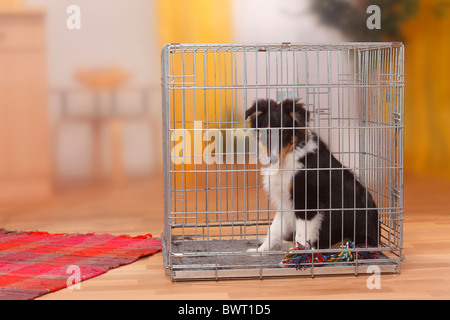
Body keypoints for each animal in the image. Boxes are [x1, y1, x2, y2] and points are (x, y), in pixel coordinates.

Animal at [246, 99, 380, 251]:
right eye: (266, 132)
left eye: (284, 132)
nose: (272, 159)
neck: (290, 155)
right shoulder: (285, 201)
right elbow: (273, 229)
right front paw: (260, 251)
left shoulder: (308, 200)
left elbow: (302, 235)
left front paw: (298, 253)